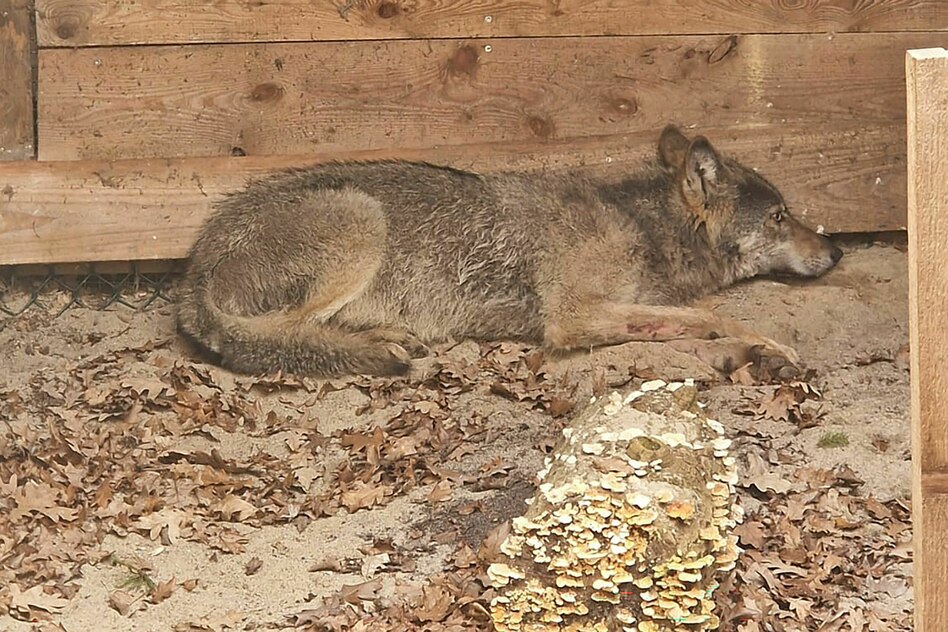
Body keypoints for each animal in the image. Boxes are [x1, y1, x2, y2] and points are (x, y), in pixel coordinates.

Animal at [176, 125, 842, 378]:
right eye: (781, 217)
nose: (836, 251)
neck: (639, 225)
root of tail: (193, 268)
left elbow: (691, 316)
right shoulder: (571, 318)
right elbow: (712, 316)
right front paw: (766, 347)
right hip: (361, 219)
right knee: (279, 335)